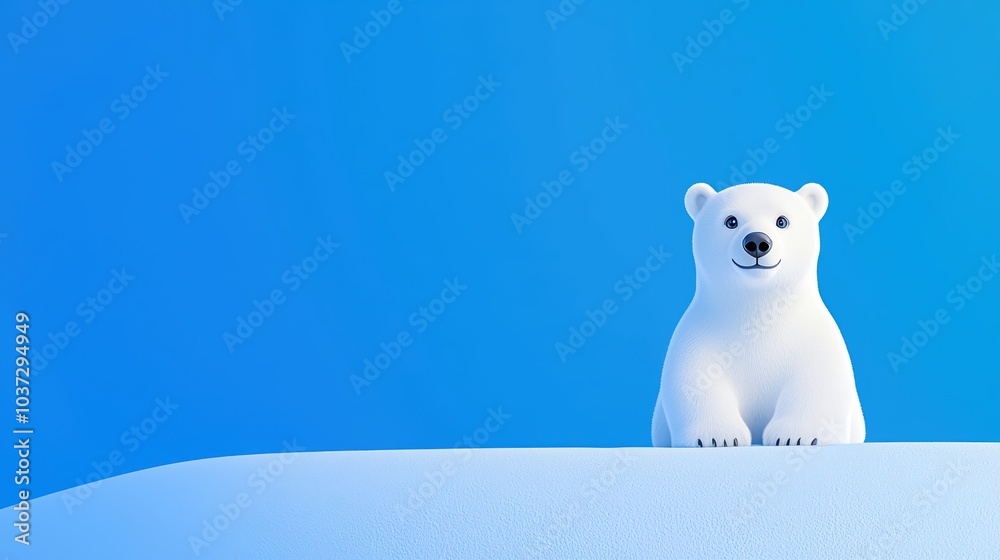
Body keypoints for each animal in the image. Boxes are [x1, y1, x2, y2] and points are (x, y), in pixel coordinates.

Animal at [651, 182, 865, 447]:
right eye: (731, 221)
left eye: (782, 221)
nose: (756, 242)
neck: (759, 310)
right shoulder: (700, 335)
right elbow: (697, 378)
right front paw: (717, 436)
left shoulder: (813, 336)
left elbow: (818, 376)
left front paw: (798, 435)